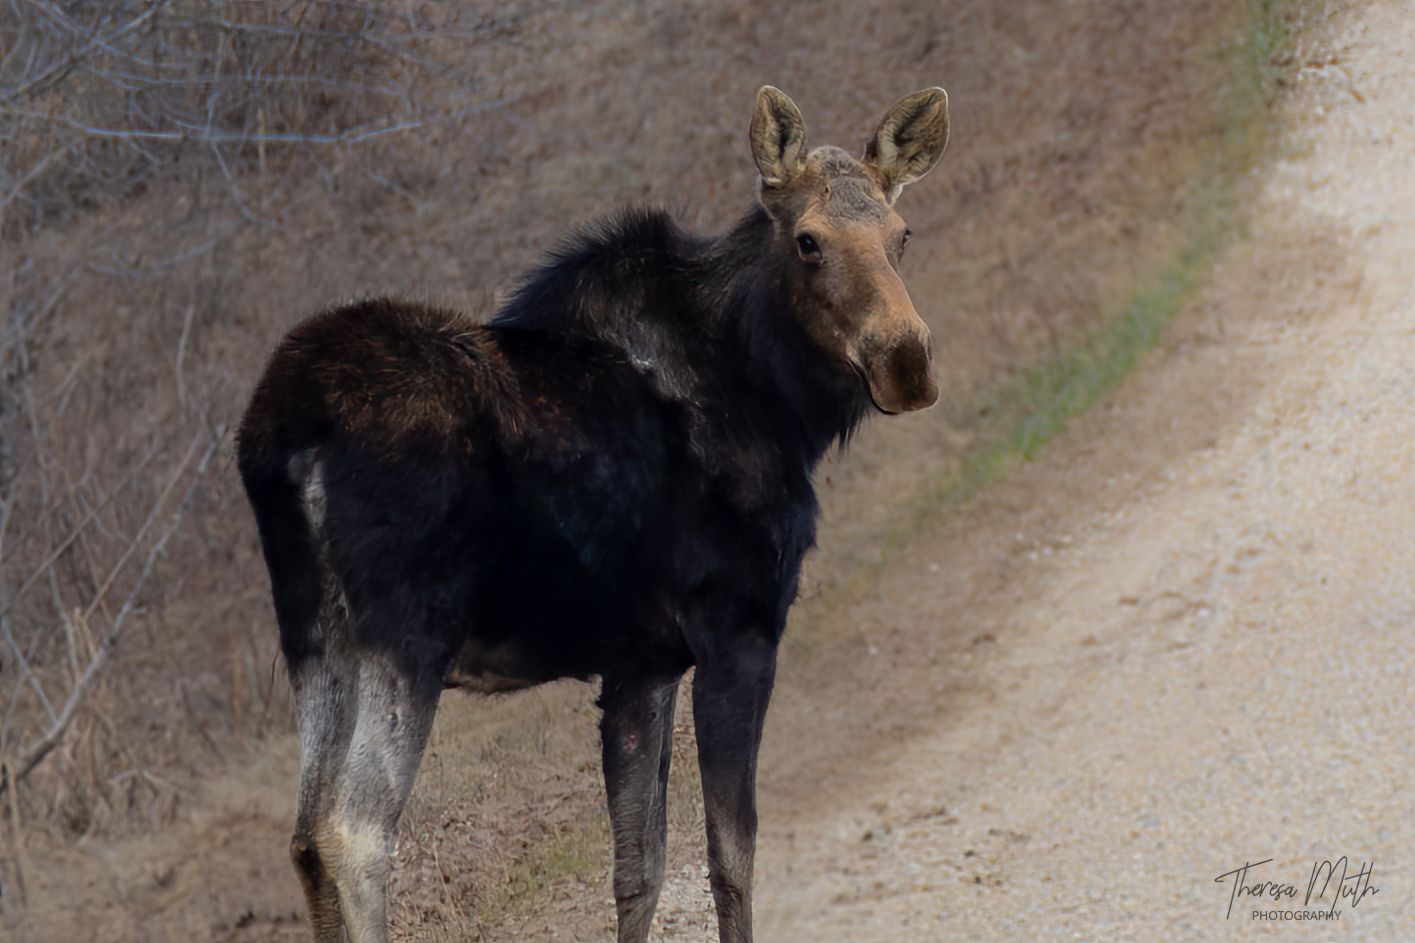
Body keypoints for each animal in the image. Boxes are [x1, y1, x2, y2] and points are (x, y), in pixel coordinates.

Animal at [236, 85, 950, 943]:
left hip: (316, 637)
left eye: (901, 234)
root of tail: (281, 434)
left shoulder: (641, 660)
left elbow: (638, 870)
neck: (778, 403)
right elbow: (729, 858)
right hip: (406, 634)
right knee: (353, 832)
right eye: (808, 241)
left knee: (306, 836)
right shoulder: (735, 630)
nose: (904, 358)